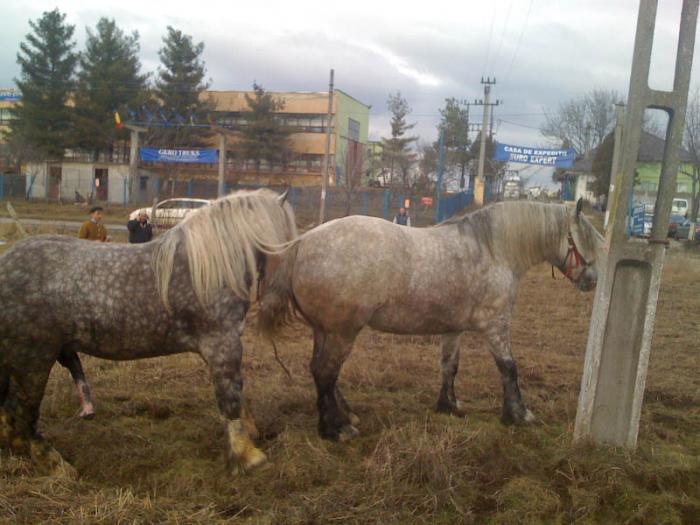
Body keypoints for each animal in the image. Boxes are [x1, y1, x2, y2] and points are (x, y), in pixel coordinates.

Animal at [0, 189, 296, 474]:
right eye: (285, 236)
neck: (210, 266)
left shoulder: (218, 348)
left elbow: (237, 392)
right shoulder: (222, 343)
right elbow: (230, 397)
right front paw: (247, 456)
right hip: (33, 361)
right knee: (20, 415)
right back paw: (56, 464)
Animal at [262, 199, 608, 440]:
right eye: (582, 240)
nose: (592, 281)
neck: (493, 250)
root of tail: (302, 243)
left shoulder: (453, 329)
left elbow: (449, 366)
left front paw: (449, 406)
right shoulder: (495, 325)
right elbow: (509, 368)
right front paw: (519, 415)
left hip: (324, 331)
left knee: (321, 372)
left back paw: (342, 419)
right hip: (342, 332)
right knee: (326, 372)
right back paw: (335, 429)